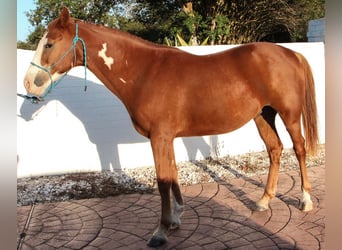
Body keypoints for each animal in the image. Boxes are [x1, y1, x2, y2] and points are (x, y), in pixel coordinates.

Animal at [23, 6, 318, 247]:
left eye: (49, 44)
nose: (28, 84)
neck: (145, 72)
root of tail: (291, 53)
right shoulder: (168, 138)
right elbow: (173, 175)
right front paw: (176, 218)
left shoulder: (159, 137)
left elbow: (162, 181)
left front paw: (161, 231)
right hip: (263, 115)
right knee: (275, 150)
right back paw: (263, 201)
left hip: (290, 116)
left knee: (299, 149)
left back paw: (305, 200)